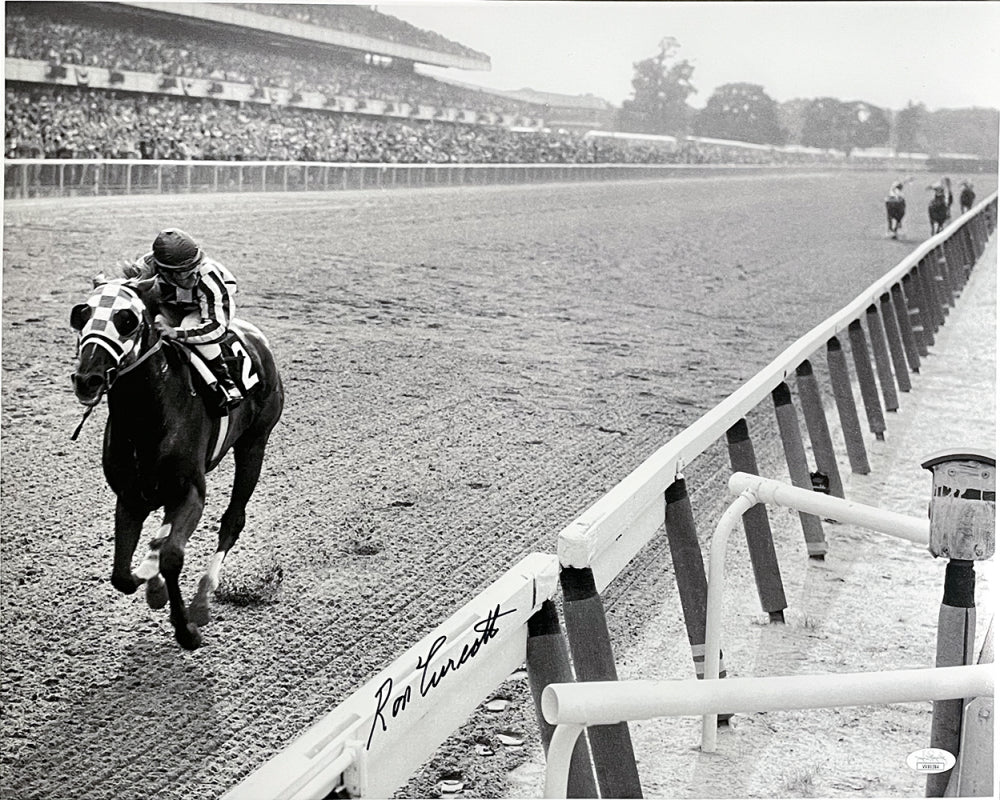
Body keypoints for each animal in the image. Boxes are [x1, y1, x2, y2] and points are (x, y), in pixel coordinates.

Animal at [71, 278, 284, 648]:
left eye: (127, 320)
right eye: (82, 315)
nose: (88, 379)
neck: (147, 419)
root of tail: (257, 337)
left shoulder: (191, 493)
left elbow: (173, 556)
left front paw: (186, 629)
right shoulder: (130, 498)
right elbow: (121, 575)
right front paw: (151, 582)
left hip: (254, 445)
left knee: (232, 521)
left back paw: (201, 601)